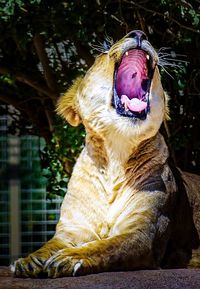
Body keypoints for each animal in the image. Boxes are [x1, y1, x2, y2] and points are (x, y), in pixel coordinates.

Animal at [12, 29, 200, 276]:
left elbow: (105, 247)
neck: (115, 155)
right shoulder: (72, 229)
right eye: (102, 53)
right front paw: (29, 261)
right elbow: (49, 245)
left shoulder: (143, 234)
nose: (139, 33)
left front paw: (71, 257)